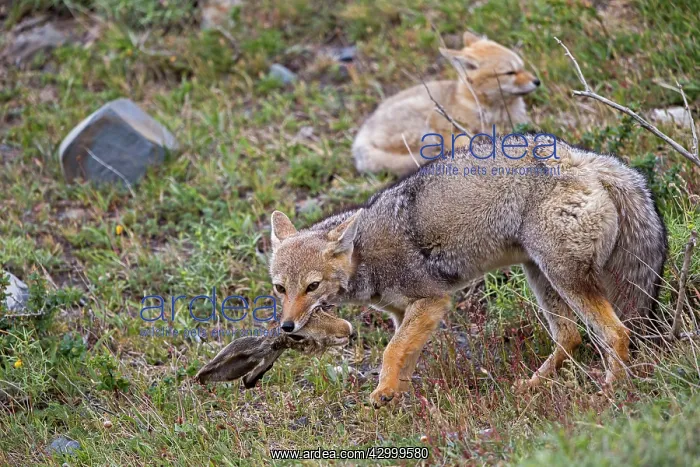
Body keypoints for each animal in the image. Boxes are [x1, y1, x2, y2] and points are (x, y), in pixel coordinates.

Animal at [269, 135, 667, 408]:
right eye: (280, 288)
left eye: (312, 286)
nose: (286, 326)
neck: (368, 253)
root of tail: (583, 158)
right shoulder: (405, 313)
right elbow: (405, 357)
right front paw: (396, 397)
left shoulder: (432, 302)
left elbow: (391, 351)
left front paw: (384, 392)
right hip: (540, 276)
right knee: (570, 337)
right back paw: (532, 385)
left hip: (564, 278)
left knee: (615, 332)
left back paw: (610, 391)